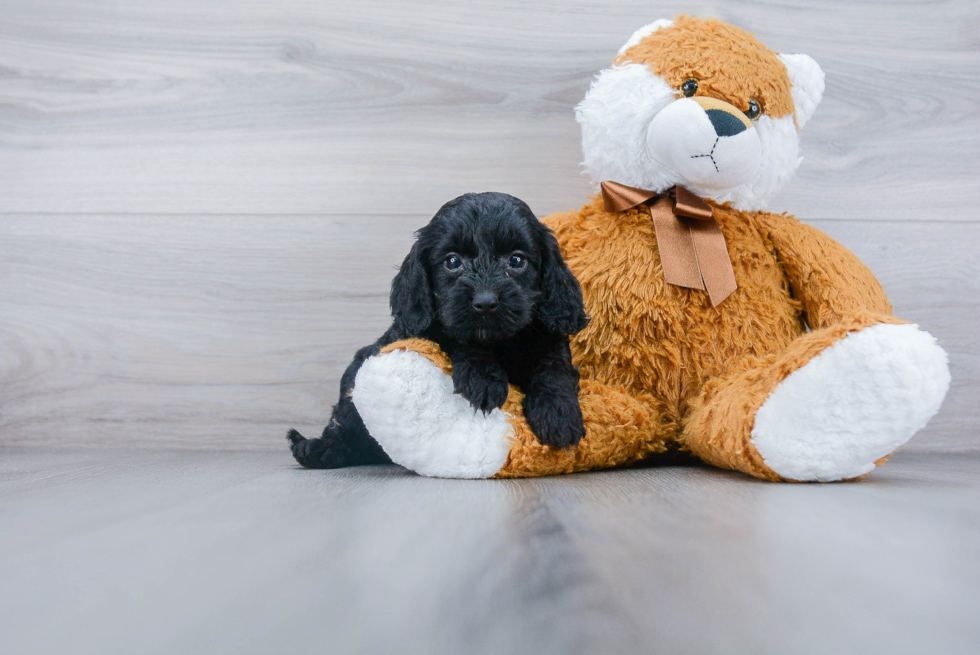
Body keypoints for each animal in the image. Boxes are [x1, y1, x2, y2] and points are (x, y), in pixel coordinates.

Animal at [286, 192, 588, 468]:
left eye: (516, 260)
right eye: (452, 261)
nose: (485, 302)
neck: (498, 343)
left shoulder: (549, 335)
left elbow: (553, 367)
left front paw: (558, 413)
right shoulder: (429, 328)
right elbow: (457, 338)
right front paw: (483, 379)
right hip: (354, 380)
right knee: (345, 423)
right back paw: (319, 449)